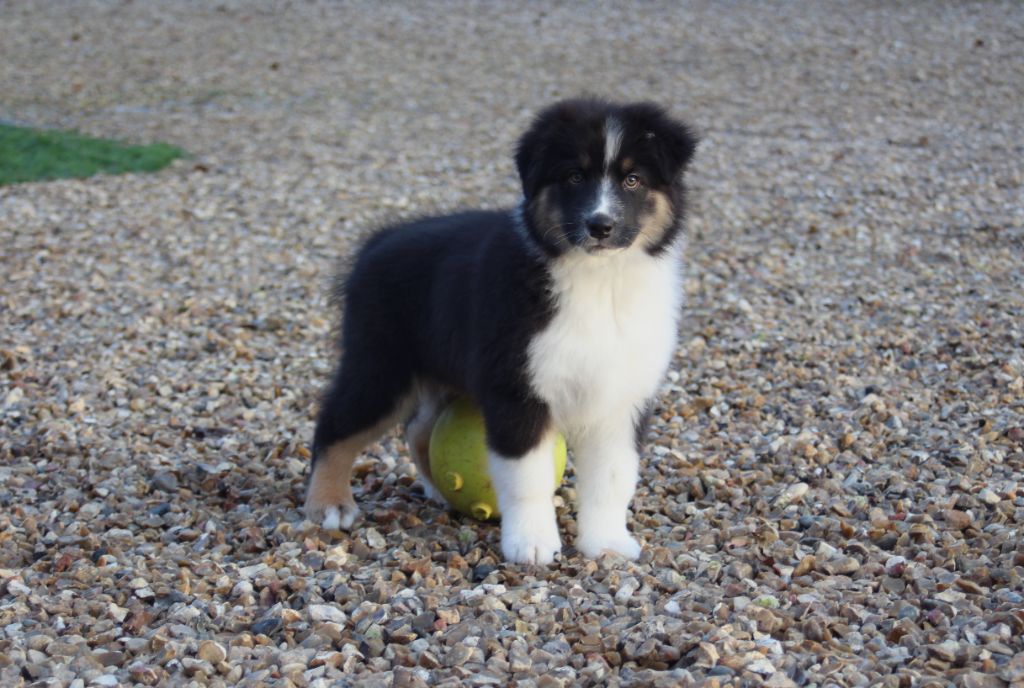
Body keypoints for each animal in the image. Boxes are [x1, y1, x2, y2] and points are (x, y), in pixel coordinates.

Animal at [305, 98, 697, 564]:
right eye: (574, 176)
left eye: (633, 179)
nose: (599, 226)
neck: (599, 279)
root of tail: (377, 241)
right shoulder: (518, 388)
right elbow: (528, 476)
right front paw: (532, 544)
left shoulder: (621, 398)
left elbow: (613, 478)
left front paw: (607, 543)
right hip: (381, 365)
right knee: (335, 424)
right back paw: (329, 504)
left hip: (443, 370)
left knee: (418, 431)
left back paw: (436, 491)